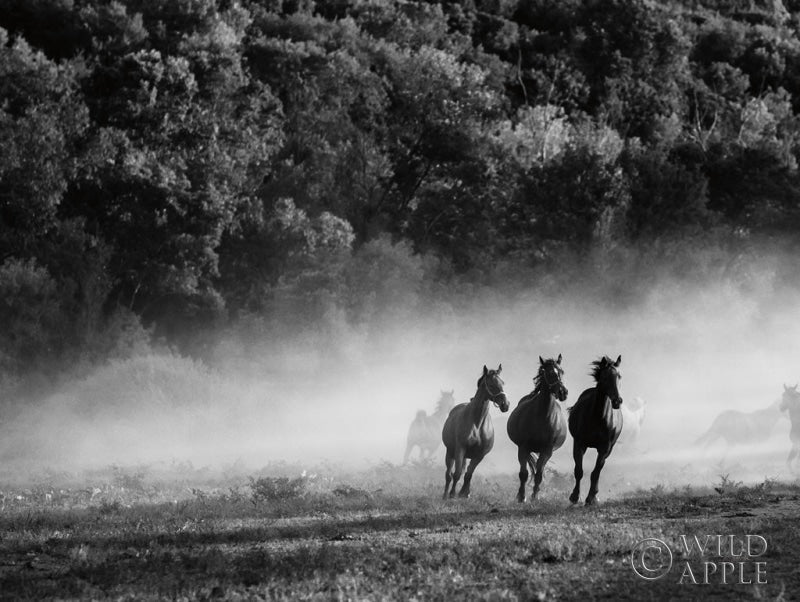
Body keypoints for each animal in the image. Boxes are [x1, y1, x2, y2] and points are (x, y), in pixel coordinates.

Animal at [442, 365, 509, 499]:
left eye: (503, 382)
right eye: (491, 384)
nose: (506, 404)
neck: (477, 423)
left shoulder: (480, 455)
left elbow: (468, 474)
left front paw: (464, 493)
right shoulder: (460, 449)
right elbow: (457, 474)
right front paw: (452, 494)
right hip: (450, 452)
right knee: (448, 474)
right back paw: (445, 495)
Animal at [506, 355, 568, 502]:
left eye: (561, 371)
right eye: (550, 372)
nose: (563, 392)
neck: (543, 416)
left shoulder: (547, 450)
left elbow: (539, 474)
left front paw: (535, 497)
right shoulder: (523, 447)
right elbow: (523, 473)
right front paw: (522, 496)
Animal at [568, 355, 623, 506]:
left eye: (619, 376)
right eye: (604, 377)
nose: (617, 401)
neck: (598, 417)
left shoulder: (605, 448)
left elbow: (596, 472)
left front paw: (591, 498)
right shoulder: (579, 444)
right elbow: (579, 471)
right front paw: (574, 496)